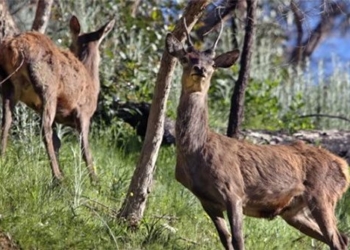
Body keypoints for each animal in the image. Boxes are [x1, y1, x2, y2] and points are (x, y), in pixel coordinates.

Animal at [0, 15, 115, 184]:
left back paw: (2, 159)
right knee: (44, 130)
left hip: (9, 86)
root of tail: (15, 47)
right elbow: (85, 148)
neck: (93, 82)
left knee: (6, 122)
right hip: (48, 88)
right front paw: (95, 181)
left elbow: (58, 142)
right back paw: (57, 178)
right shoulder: (83, 112)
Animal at [165, 18, 350, 249]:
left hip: (323, 194)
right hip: (295, 211)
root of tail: (344, 166)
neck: (196, 152)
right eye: (186, 58)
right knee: (342, 237)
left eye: (213, 64)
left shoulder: (233, 190)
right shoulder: (207, 201)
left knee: (338, 240)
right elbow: (226, 239)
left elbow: (238, 239)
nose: (200, 69)